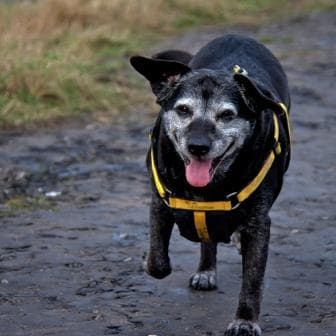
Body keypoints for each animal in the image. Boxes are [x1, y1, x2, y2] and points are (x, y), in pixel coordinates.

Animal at [130, 35, 290, 334]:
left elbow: (252, 281)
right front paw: (148, 259)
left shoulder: (259, 225)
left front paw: (245, 320)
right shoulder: (159, 203)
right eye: (183, 109)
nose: (198, 147)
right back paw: (206, 269)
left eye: (227, 115)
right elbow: (158, 262)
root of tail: (238, 35)